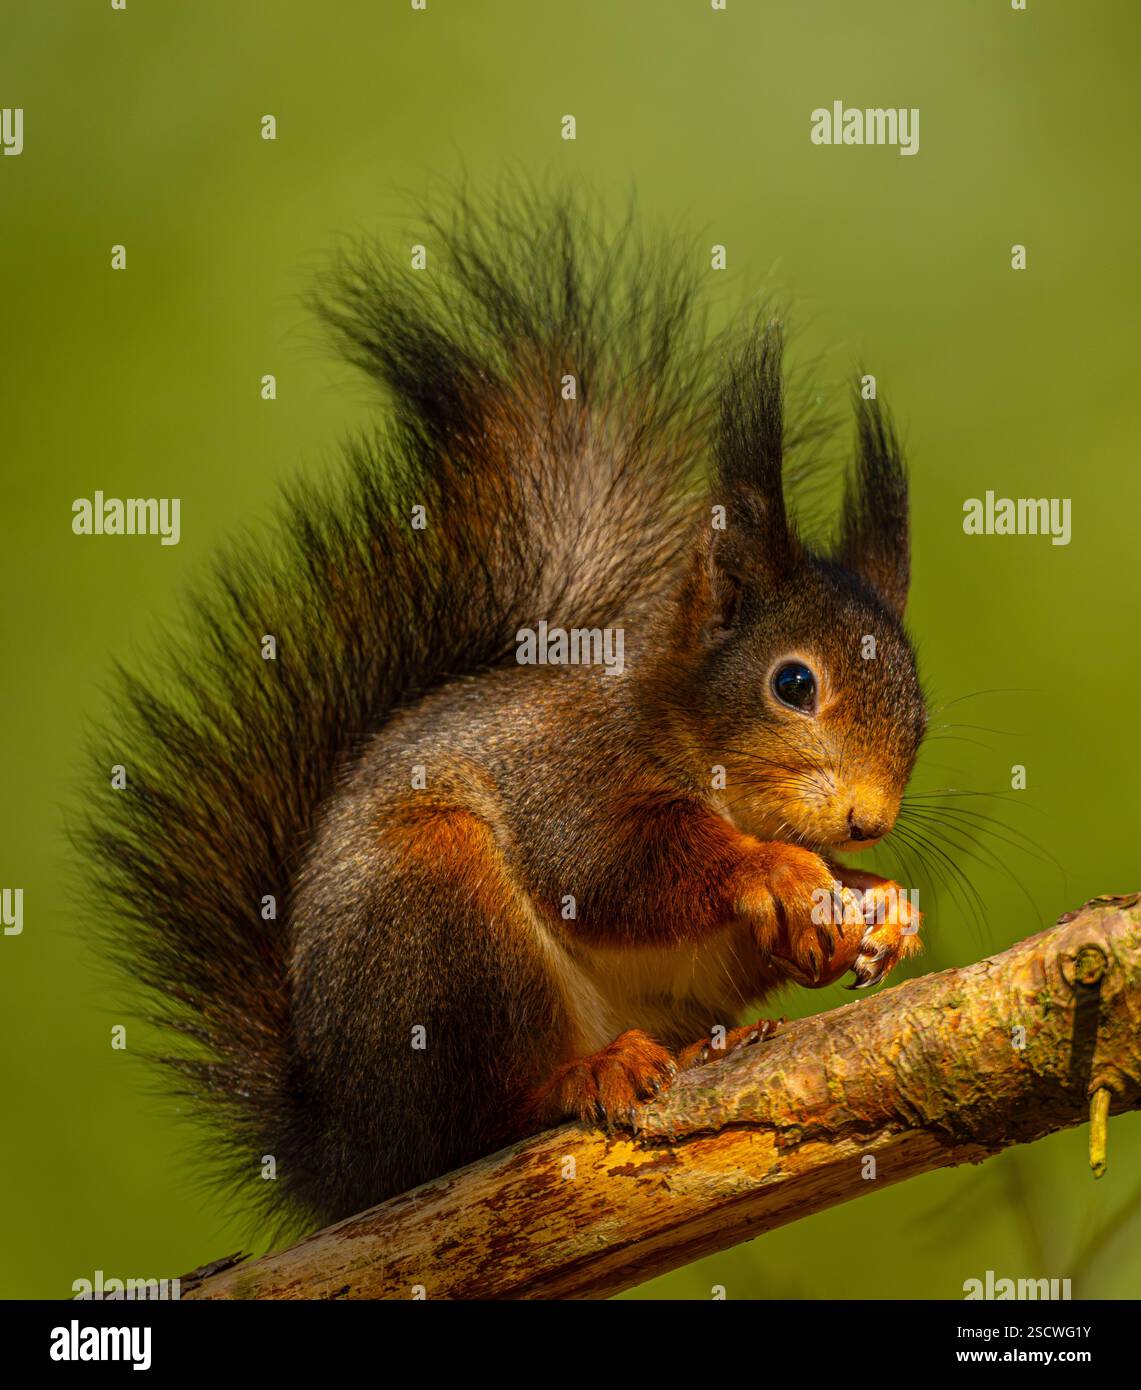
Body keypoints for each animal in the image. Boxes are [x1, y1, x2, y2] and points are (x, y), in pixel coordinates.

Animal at [85, 191, 927, 1233]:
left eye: (920, 704)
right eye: (794, 684)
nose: (869, 818)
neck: (675, 726)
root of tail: (348, 1152)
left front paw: (876, 900)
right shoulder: (570, 771)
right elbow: (614, 864)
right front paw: (774, 869)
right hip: (441, 919)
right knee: (480, 1114)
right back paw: (584, 1074)